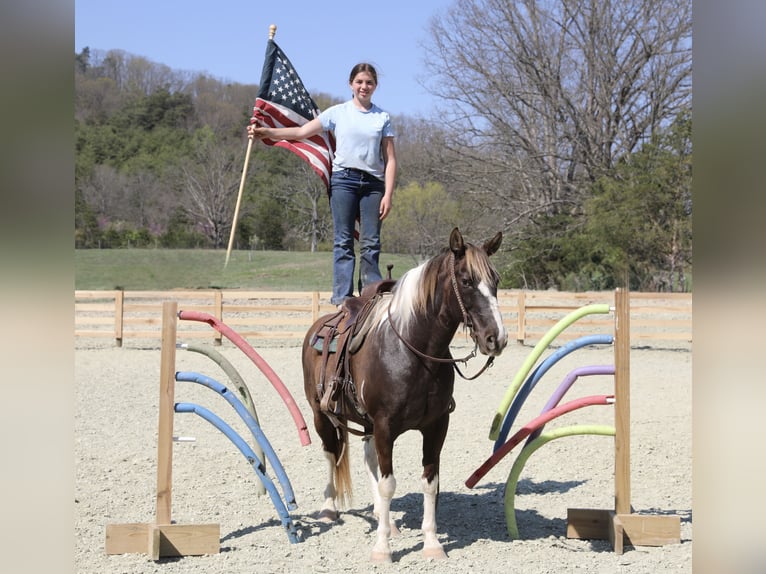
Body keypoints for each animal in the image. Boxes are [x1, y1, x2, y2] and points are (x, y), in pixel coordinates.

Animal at [301, 227, 508, 562]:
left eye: (496, 280)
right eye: (466, 281)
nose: (497, 338)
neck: (415, 351)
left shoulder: (436, 426)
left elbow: (430, 483)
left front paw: (432, 543)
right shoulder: (385, 426)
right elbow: (389, 484)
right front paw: (382, 549)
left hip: (367, 423)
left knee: (368, 458)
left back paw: (383, 518)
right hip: (321, 414)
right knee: (331, 453)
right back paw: (330, 508)